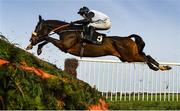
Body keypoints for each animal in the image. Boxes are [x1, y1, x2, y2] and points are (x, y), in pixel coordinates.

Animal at [26, 15, 171, 71]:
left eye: (37, 27)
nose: (31, 39)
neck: (68, 30)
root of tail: (128, 38)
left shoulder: (65, 46)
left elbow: (47, 38)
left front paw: (35, 46)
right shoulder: (63, 45)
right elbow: (46, 39)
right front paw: (36, 47)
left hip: (130, 56)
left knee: (146, 57)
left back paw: (159, 67)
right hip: (127, 57)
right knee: (147, 56)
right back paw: (163, 67)